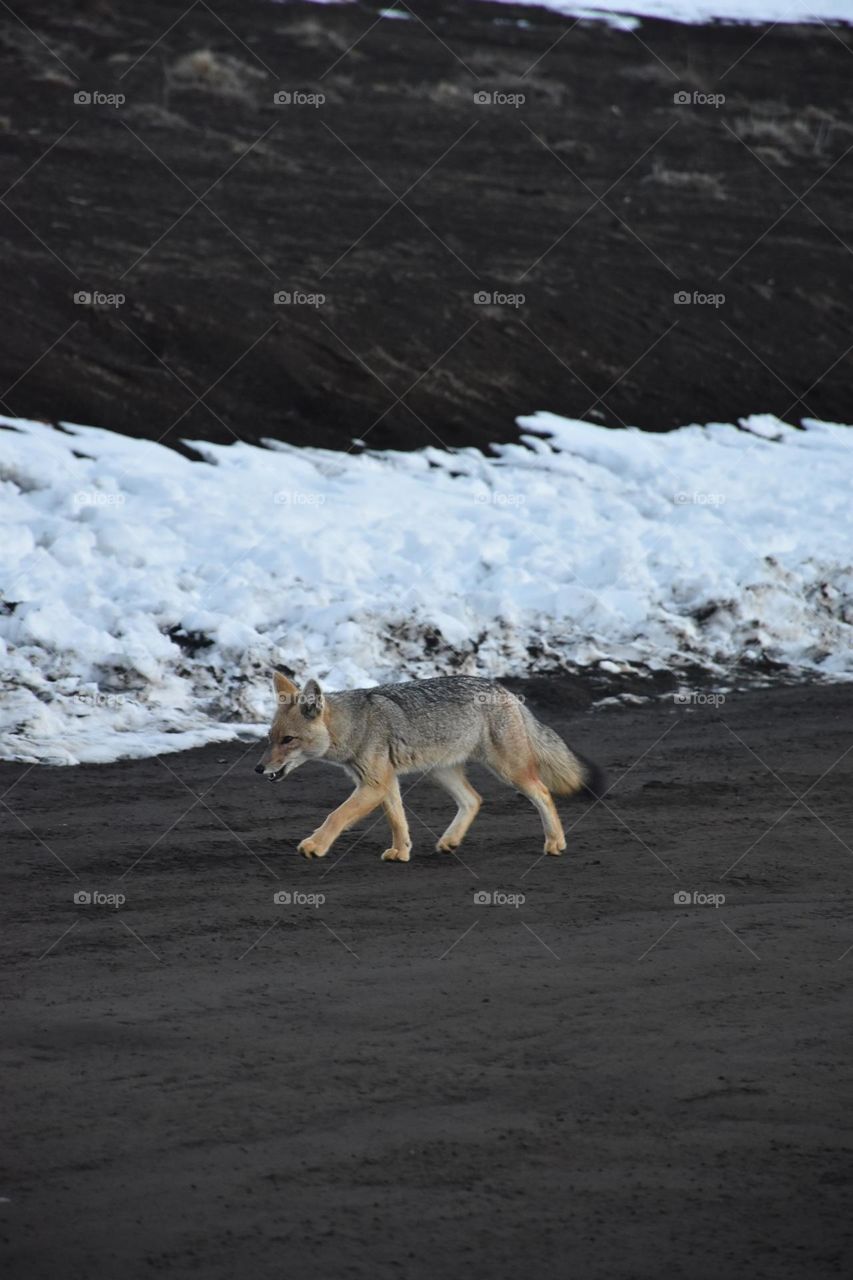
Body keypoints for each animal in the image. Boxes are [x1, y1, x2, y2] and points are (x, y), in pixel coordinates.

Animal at [254, 672, 605, 863]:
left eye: (288, 740)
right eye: (270, 739)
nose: (258, 769)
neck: (355, 725)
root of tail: (502, 688)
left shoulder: (374, 784)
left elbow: (335, 816)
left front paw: (315, 845)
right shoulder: (384, 782)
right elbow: (398, 822)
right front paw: (401, 852)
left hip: (509, 770)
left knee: (543, 793)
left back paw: (555, 843)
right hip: (441, 773)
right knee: (474, 799)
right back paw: (450, 841)